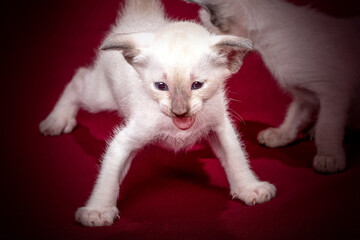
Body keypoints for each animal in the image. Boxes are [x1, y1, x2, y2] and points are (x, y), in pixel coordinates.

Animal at [39, 0, 276, 227]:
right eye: (161, 86)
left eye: (197, 85)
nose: (179, 111)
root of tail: (142, 15)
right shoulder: (124, 140)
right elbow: (109, 174)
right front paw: (98, 211)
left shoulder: (220, 125)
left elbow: (235, 156)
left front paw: (250, 188)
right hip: (101, 96)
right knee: (79, 78)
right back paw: (57, 119)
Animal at [188, 0, 360, 172]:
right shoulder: (304, 95)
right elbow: (294, 116)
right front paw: (281, 135)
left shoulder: (333, 92)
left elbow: (327, 127)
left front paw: (329, 156)